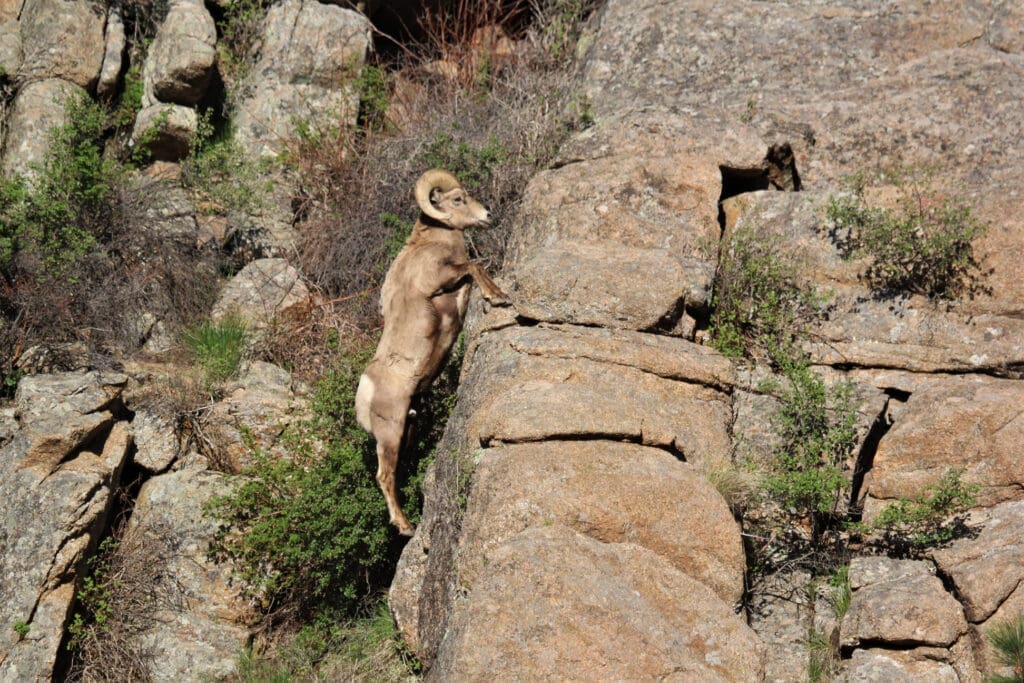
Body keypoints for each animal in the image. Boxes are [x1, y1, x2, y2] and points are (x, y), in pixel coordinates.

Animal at [355, 169, 508, 535]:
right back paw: (405, 526)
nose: (488, 215)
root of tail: (365, 391)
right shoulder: (443, 278)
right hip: (391, 433)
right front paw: (498, 297)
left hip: (407, 431)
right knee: (384, 475)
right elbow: (474, 265)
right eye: (458, 199)